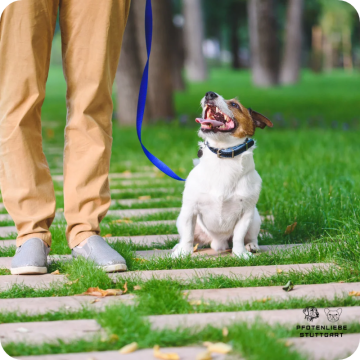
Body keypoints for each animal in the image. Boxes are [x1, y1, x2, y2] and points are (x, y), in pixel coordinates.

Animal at [172, 90, 272, 258]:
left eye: (235, 105)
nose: (209, 94)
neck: (223, 156)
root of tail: (217, 243)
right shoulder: (189, 210)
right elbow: (187, 236)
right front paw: (182, 254)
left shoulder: (246, 213)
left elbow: (238, 236)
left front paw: (240, 254)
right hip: (184, 220)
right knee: (191, 238)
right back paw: (178, 247)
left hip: (255, 219)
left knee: (251, 237)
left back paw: (251, 246)